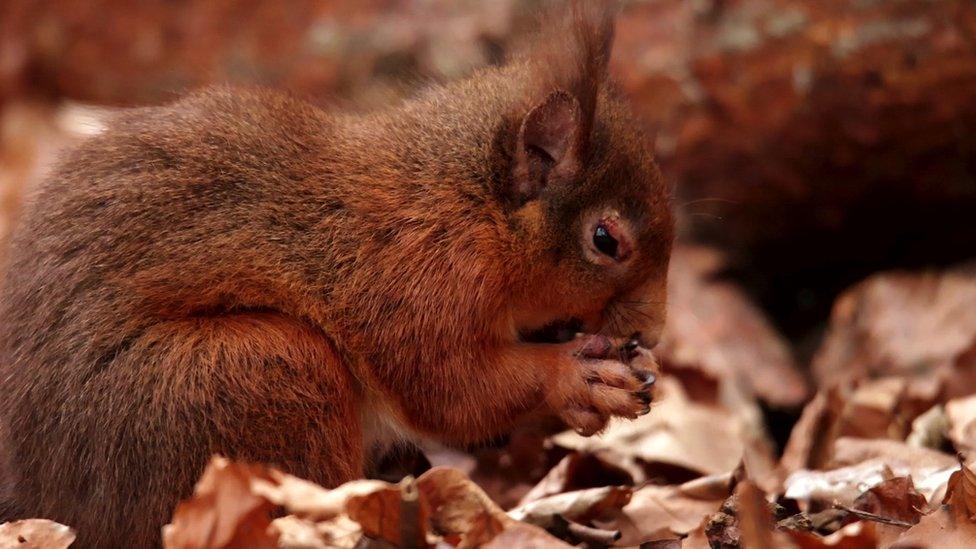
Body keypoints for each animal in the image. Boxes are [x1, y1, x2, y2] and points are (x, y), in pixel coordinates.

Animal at [0, 2, 672, 544]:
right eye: (606, 240)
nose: (656, 330)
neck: (464, 204)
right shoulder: (414, 281)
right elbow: (451, 388)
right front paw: (577, 377)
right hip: (251, 374)